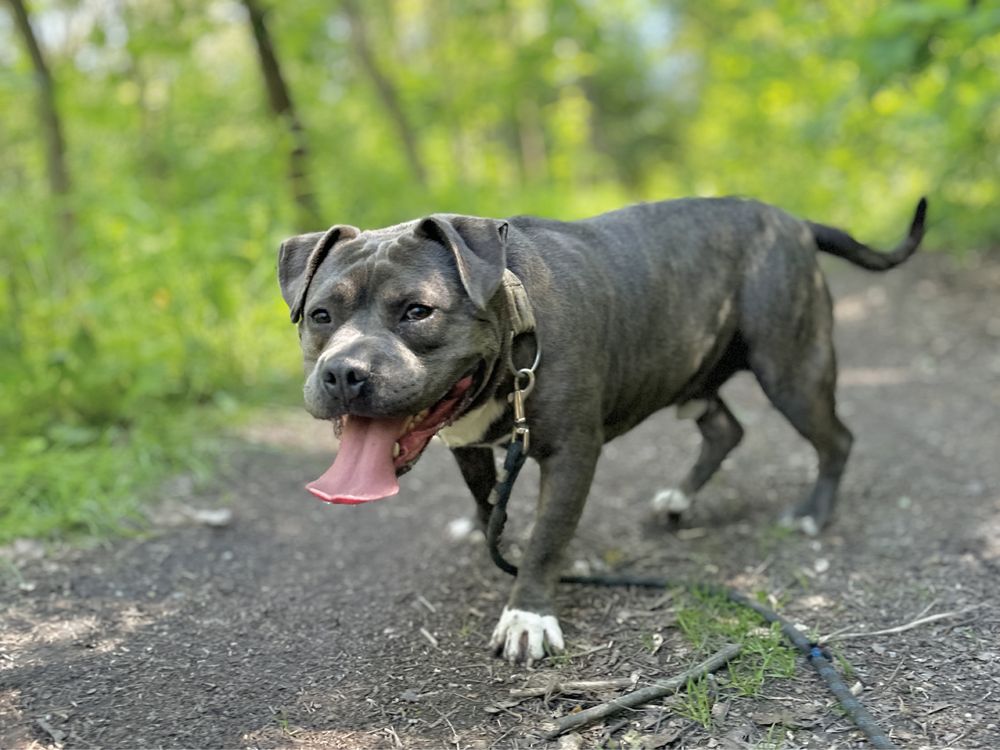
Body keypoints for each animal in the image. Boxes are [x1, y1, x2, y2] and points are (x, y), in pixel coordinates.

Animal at [278, 197, 924, 668]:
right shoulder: (470, 445)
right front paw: (495, 536)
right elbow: (489, 503)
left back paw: (813, 513)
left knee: (835, 438)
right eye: (320, 316)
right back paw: (679, 500)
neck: (517, 333)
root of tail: (792, 221)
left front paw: (528, 614)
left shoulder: (571, 454)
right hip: (694, 376)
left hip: (792, 369)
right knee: (726, 430)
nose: (343, 372)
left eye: (417, 311)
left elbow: (548, 535)